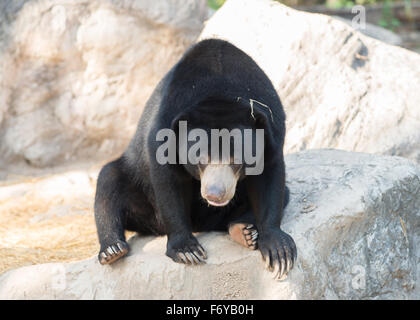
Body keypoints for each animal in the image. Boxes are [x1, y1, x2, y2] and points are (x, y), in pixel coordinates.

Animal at [94, 38, 298, 278]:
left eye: (237, 160)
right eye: (201, 159)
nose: (215, 194)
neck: (219, 90)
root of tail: (202, 224)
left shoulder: (272, 128)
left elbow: (270, 182)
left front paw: (279, 251)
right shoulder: (165, 124)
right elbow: (168, 184)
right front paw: (187, 251)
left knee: (284, 193)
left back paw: (243, 231)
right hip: (140, 191)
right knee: (109, 182)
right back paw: (112, 249)